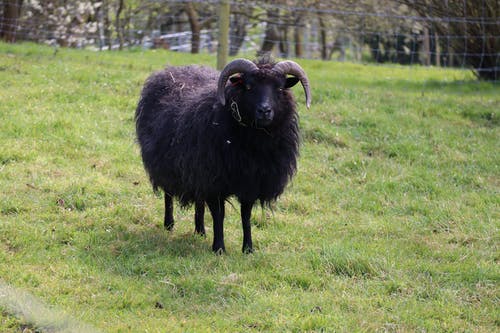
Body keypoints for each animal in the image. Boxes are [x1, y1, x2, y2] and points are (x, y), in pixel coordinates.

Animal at [135, 58, 310, 253]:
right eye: (249, 87)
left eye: (279, 88)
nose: (264, 111)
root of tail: (172, 69)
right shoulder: (214, 180)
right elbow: (219, 215)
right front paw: (219, 248)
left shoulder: (250, 182)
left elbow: (246, 215)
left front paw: (248, 249)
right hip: (167, 163)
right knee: (168, 193)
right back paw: (169, 224)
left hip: (195, 170)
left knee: (199, 200)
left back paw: (200, 230)